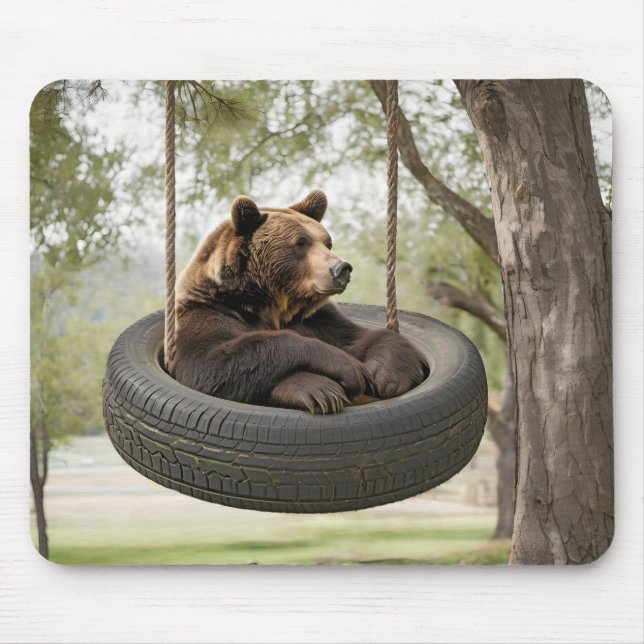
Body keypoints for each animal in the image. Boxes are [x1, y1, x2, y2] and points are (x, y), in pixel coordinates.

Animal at [174, 190, 429, 414]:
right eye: (300, 242)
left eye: (327, 242)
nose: (341, 269)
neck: (270, 304)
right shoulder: (208, 313)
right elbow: (210, 364)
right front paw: (330, 384)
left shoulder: (317, 319)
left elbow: (363, 337)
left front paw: (385, 376)